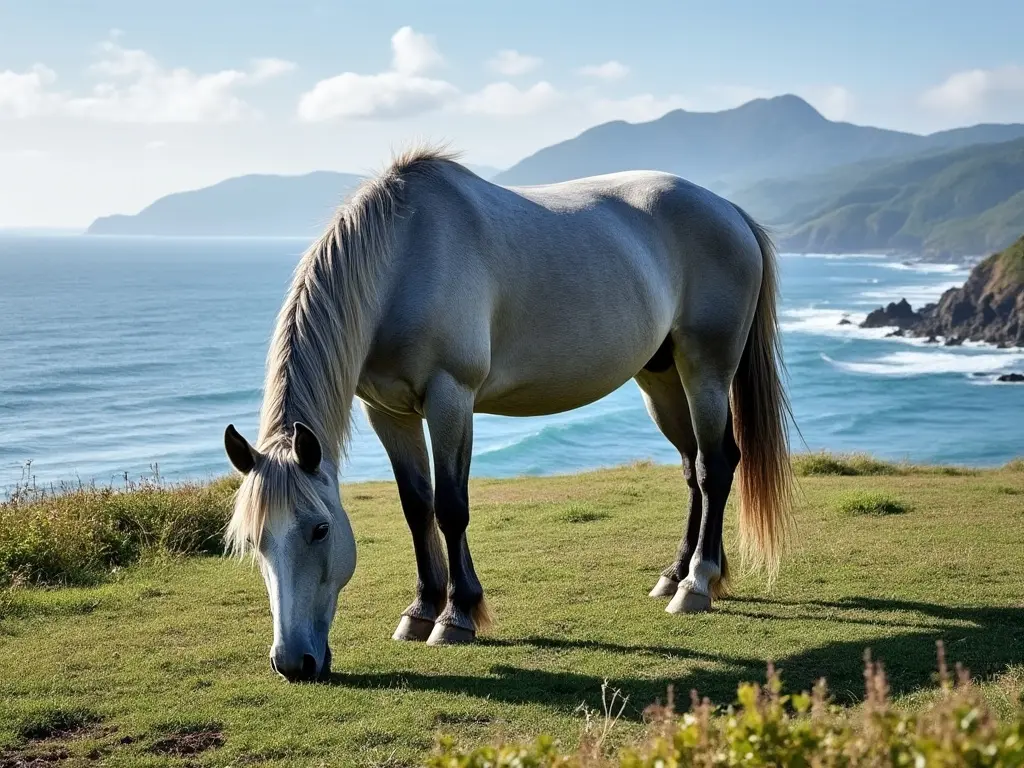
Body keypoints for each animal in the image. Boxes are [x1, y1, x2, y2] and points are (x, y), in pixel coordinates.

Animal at [224, 145, 794, 684]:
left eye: (320, 530)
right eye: (254, 541)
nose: (293, 663)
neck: (403, 258)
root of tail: (730, 211)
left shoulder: (450, 396)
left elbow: (451, 508)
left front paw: (456, 616)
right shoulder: (388, 410)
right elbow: (417, 507)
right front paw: (421, 610)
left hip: (706, 371)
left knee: (715, 467)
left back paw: (697, 583)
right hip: (661, 378)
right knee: (694, 470)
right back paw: (677, 575)